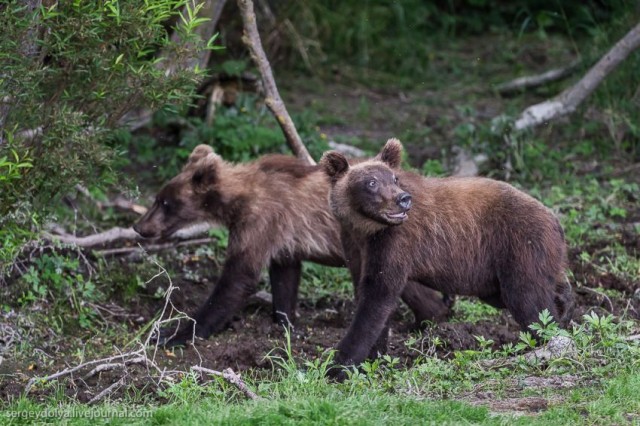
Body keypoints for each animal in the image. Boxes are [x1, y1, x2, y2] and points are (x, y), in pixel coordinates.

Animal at [133, 144, 452, 346]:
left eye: (166, 203)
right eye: (158, 198)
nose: (139, 226)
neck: (239, 201)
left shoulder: (260, 222)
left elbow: (237, 278)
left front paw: (171, 334)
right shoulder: (283, 239)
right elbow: (284, 278)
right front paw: (285, 324)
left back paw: (430, 320)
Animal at [320, 138, 576, 378]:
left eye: (394, 178)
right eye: (371, 182)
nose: (403, 199)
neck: (368, 229)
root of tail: (555, 220)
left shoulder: (395, 242)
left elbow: (377, 297)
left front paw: (337, 365)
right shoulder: (354, 244)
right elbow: (369, 294)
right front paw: (372, 358)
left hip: (520, 245)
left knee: (528, 300)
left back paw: (550, 337)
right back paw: (565, 304)